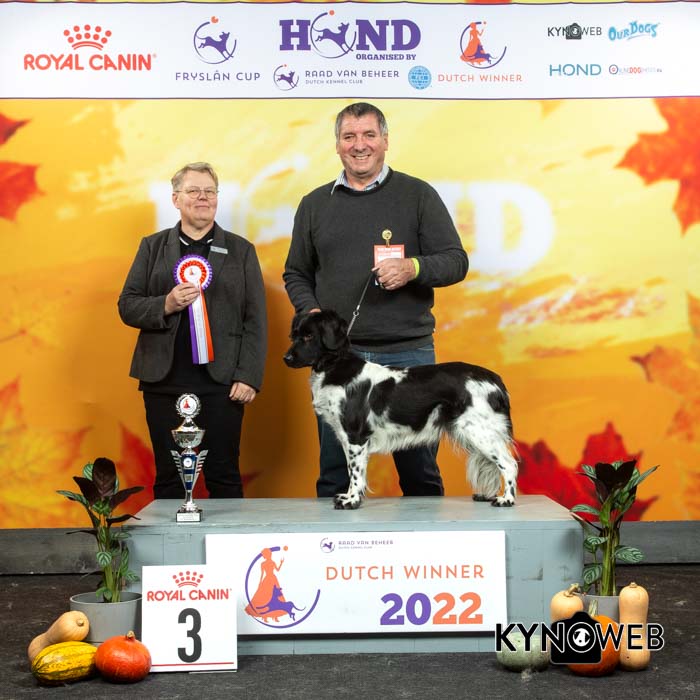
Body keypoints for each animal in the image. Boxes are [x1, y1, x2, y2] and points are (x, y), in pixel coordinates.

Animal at [283, 310, 518, 510]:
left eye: (309, 336)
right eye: (294, 335)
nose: (286, 358)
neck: (335, 366)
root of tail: (494, 379)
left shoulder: (355, 436)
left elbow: (355, 473)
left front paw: (351, 500)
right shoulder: (346, 438)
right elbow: (352, 470)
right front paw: (349, 496)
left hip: (480, 431)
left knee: (509, 464)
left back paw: (506, 499)